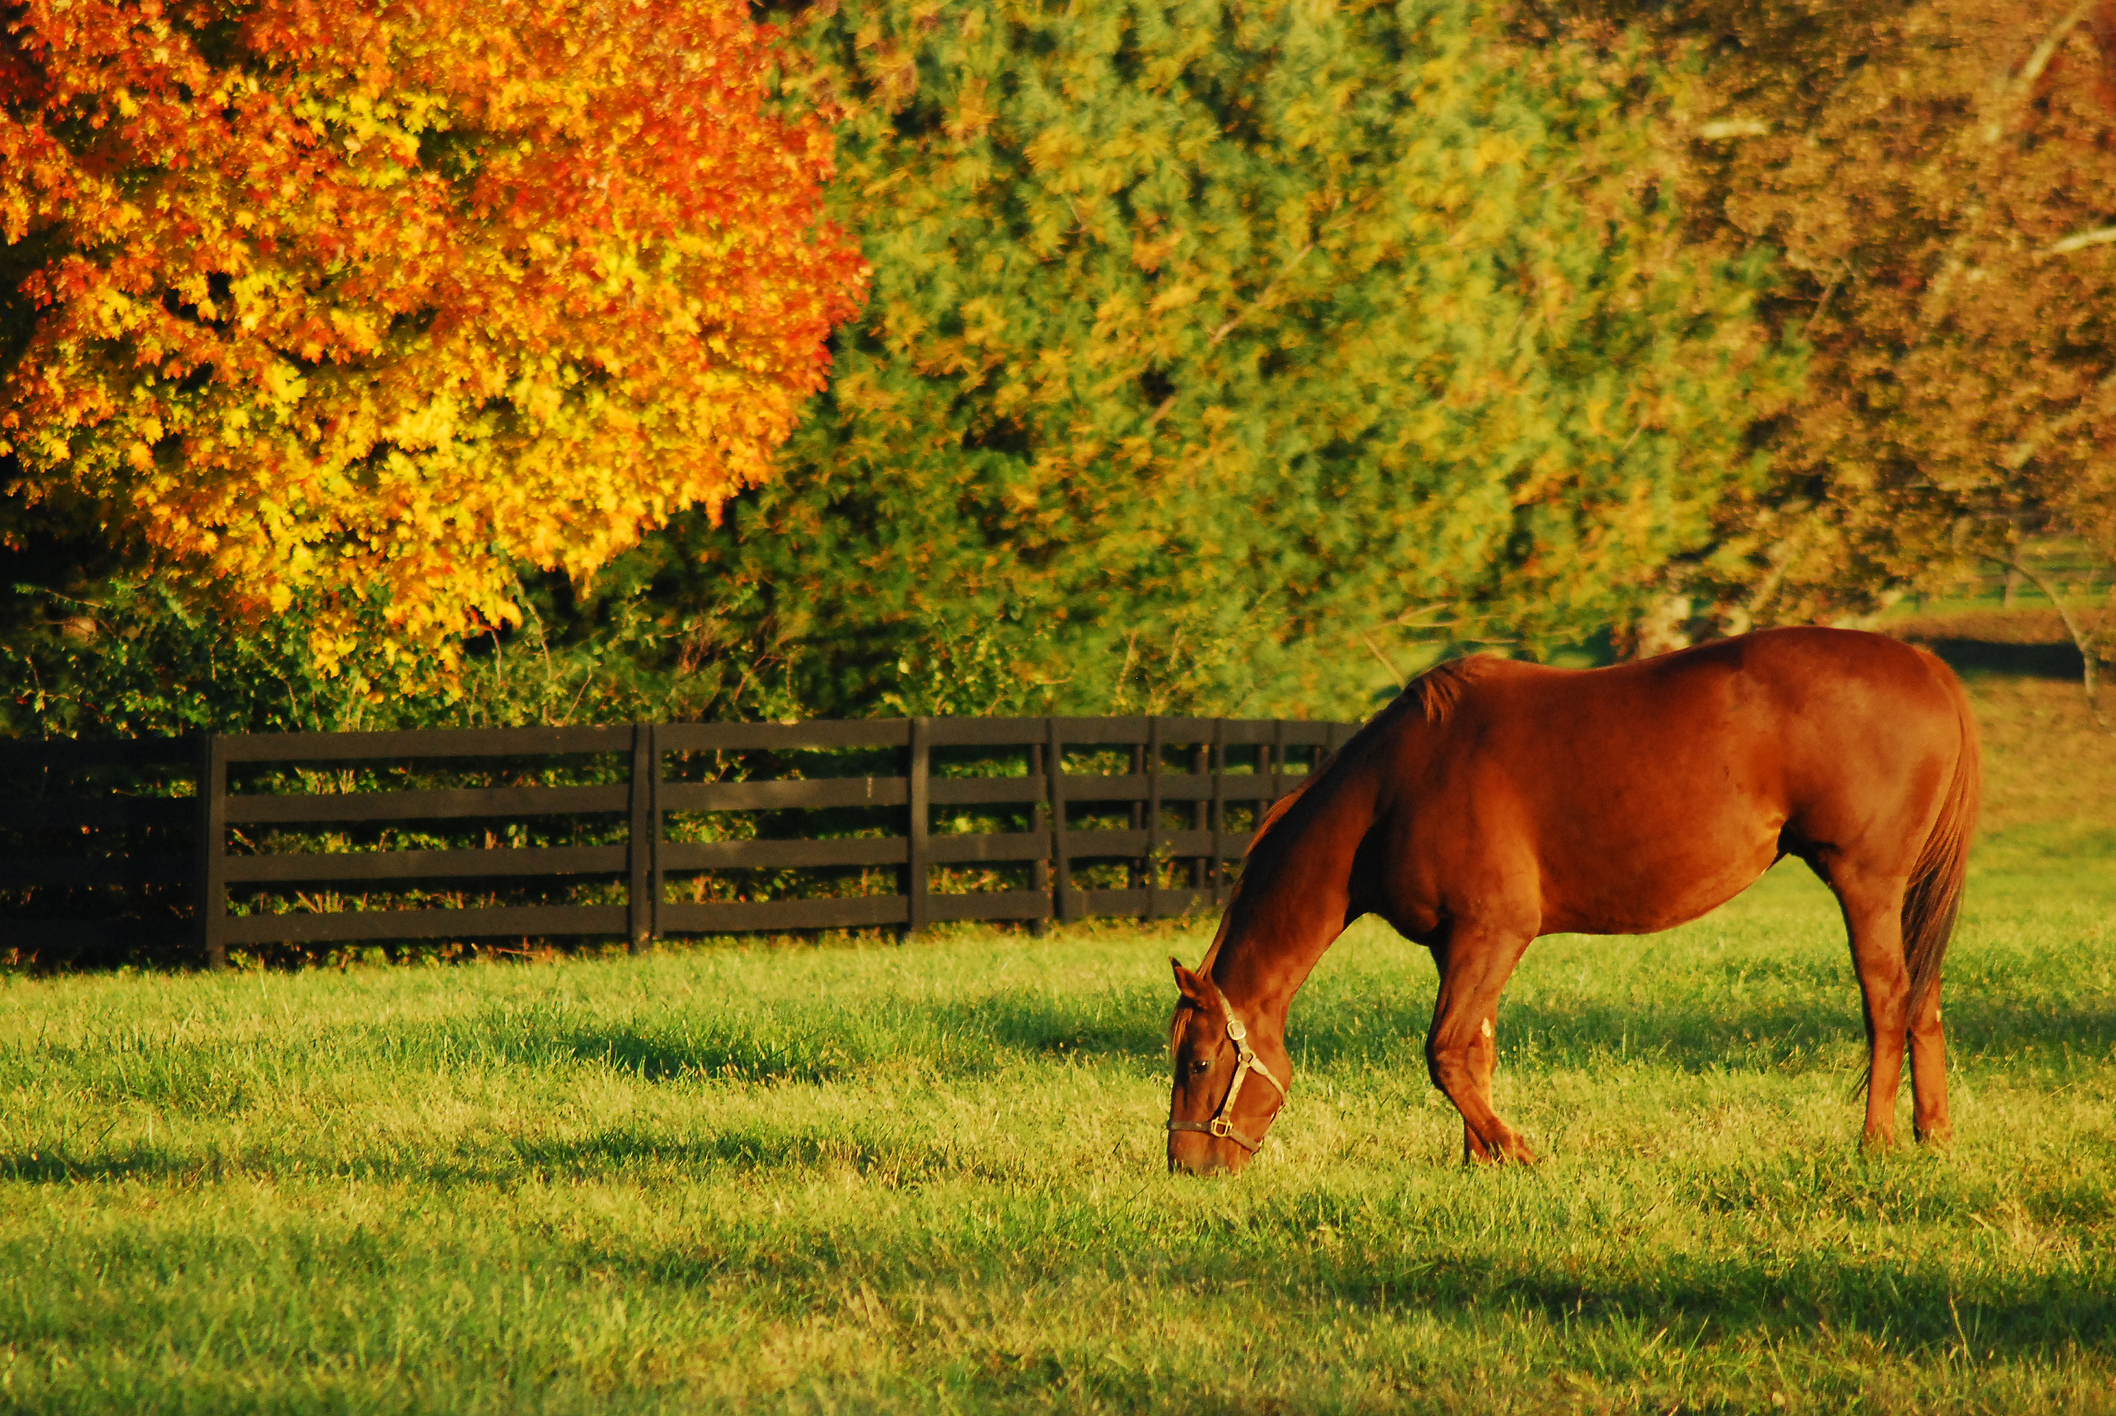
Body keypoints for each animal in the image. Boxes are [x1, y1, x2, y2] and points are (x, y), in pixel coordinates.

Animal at [1168, 626, 1972, 1168]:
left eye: (1198, 1063)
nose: (1186, 1165)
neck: (1395, 788)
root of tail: (1926, 665)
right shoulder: (1459, 946)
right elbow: (1476, 1052)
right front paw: (1478, 1160)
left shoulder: (1492, 934)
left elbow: (1445, 1053)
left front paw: (1514, 1151)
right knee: (1923, 998)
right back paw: (1933, 1134)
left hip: (1865, 882)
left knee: (1887, 1002)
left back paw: (1876, 1140)